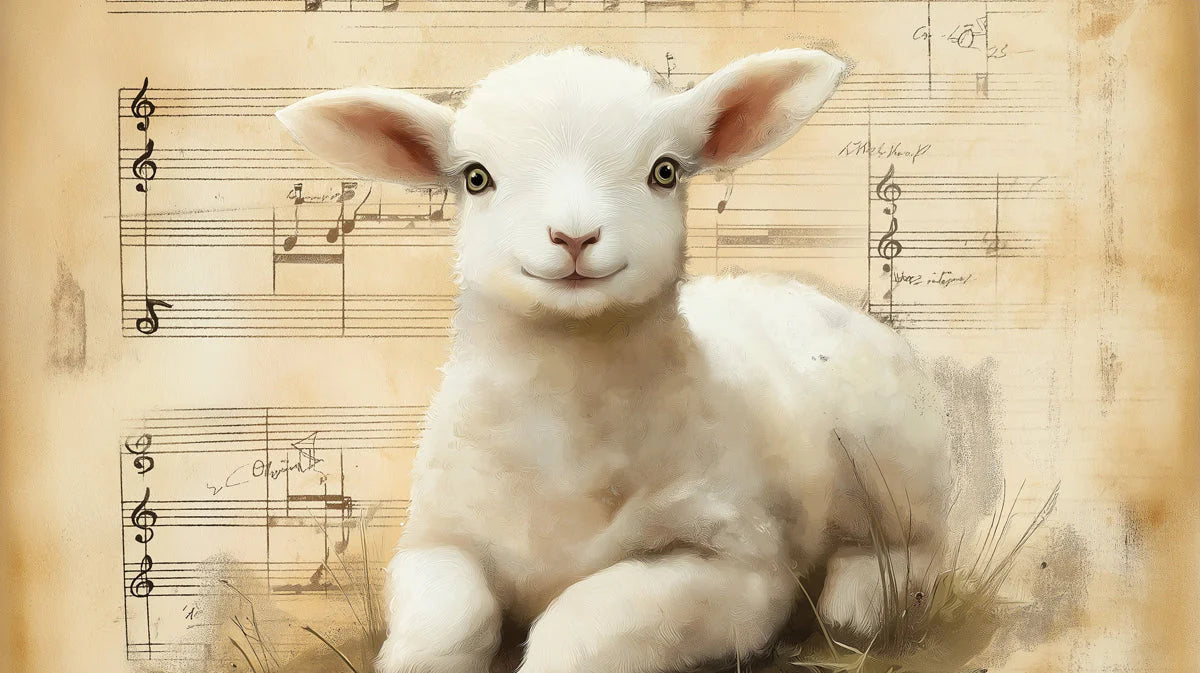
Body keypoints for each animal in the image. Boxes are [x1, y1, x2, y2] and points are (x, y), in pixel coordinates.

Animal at [277, 46, 952, 673]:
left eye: (665, 171)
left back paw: (858, 602)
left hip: (894, 459)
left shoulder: (739, 564)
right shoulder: (435, 540)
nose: (574, 237)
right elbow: (448, 619)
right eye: (475, 177)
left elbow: (587, 618)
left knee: (915, 547)